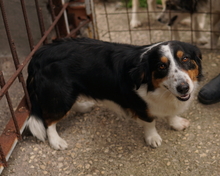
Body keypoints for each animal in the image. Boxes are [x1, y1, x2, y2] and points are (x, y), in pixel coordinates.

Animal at [26, 37, 203, 150]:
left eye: (185, 58)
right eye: (161, 66)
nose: (183, 88)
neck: (160, 89)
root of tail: (37, 56)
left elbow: (170, 114)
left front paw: (176, 123)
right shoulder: (140, 105)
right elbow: (150, 123)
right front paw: (152, 138)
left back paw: (83, 107)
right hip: (60, 94)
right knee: (49, 119)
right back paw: (56, 141)